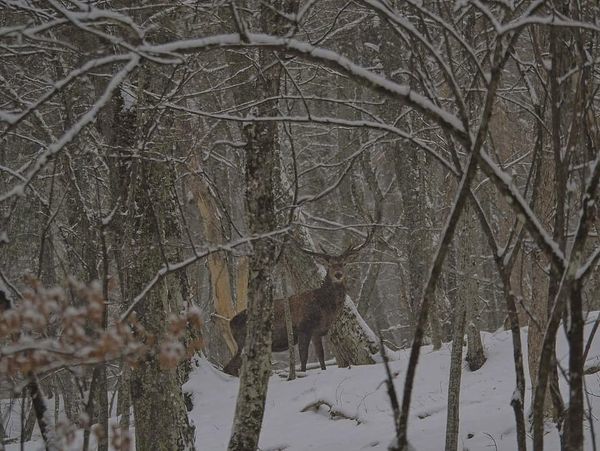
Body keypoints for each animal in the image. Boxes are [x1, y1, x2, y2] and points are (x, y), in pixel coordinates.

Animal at [220, 231, 370, 376]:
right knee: (229, 367)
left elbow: (320, 356)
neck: (324, 308)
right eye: (329, 265)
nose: (338, 274)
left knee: (231, 367)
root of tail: (230, 322)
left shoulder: (317, 332)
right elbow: (303, 358)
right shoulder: (303, 328)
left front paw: (322, 370)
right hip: (243, 341)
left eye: (344, 264)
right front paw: (301, 374)